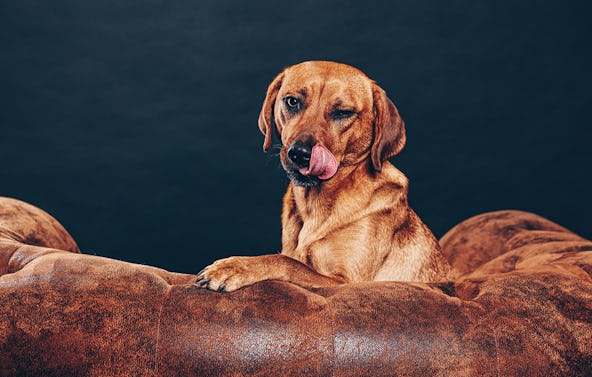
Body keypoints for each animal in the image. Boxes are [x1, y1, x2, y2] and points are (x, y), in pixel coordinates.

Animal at [197, 61, 450, 290]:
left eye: (343, 112)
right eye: (292, 101)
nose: (300, 153)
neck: (315, 205)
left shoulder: (347, 282)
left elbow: (285, 261)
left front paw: (233, 267)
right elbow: (289, 258)